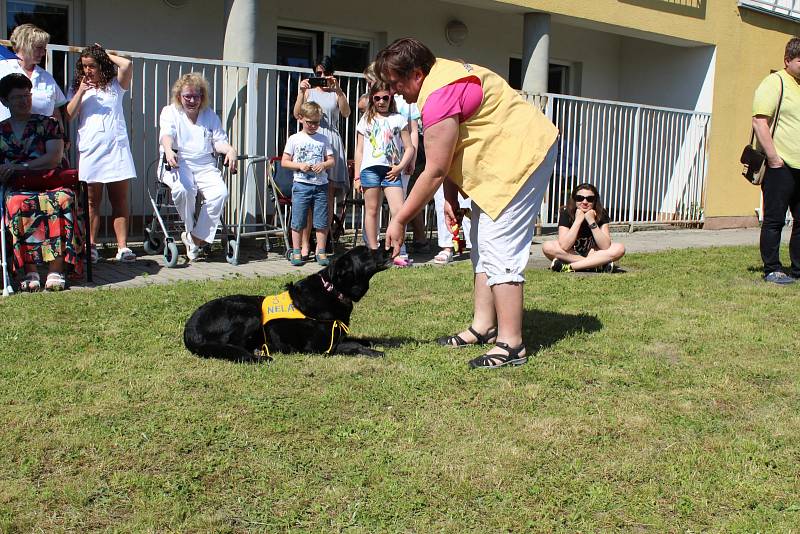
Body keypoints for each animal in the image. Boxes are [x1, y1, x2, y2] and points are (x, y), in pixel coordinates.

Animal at [184, 247, 390, 364]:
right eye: (367, 253)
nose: (390, 247)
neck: (332, 290)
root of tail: (189, 330)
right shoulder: (320, 347)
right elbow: (354, 345)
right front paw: (375, 352)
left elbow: (360, 339)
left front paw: (376, 343)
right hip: (249, 312)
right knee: (234, 347)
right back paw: (259, 356)